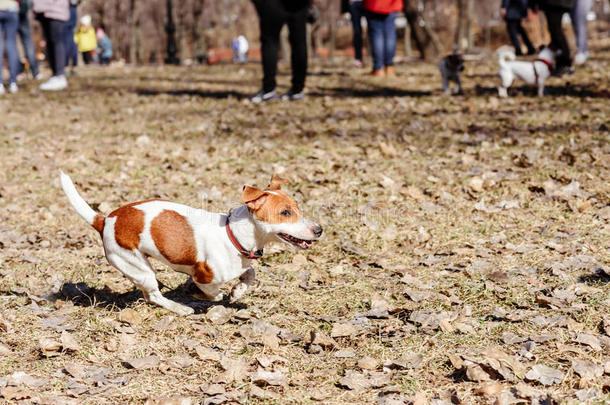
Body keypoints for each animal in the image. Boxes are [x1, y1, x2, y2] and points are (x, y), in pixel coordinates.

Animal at [59, 171, 320, 316]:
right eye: (285, 213)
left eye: (298, 208)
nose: (319, 229)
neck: (233, 234)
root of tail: (105, 220)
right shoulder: (203, 276)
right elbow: (214, 293)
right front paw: (199, 295)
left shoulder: (244, 263)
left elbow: (250, 274)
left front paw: (237, 291)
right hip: (136, 266)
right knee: (153, 295)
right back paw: (181, 308)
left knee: (148, 296)